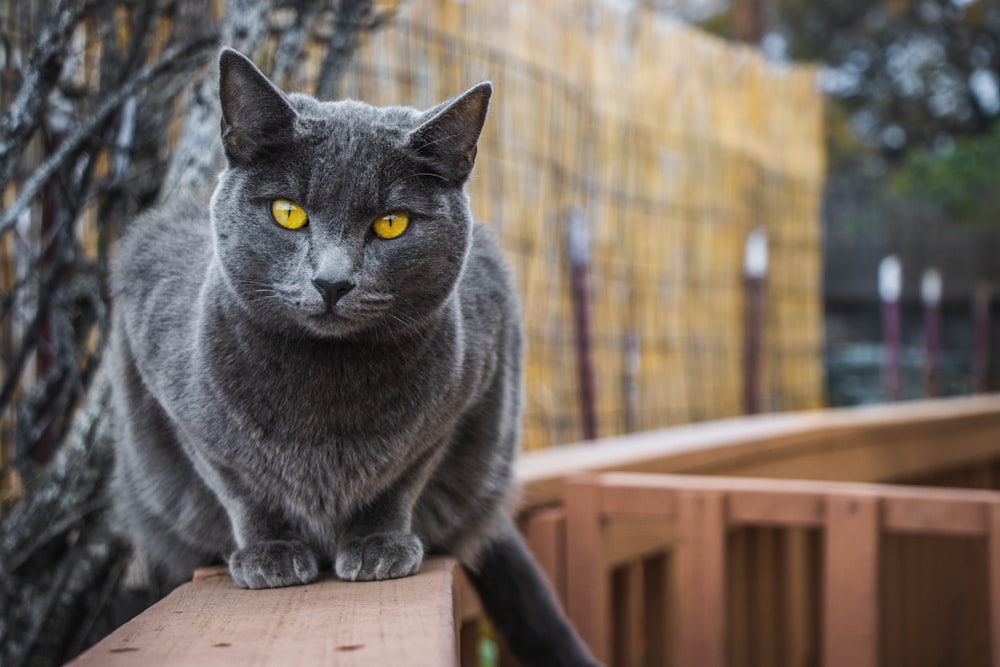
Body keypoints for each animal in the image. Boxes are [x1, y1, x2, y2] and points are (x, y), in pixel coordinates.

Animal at [111, 48, 592, 667]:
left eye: (391, 223)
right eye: (288, 212)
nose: (332, 281)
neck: (325, 386)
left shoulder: (464, 393)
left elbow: (401, 476)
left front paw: (376, 546)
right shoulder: (180, 406)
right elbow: (240, 485)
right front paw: (270, 552)